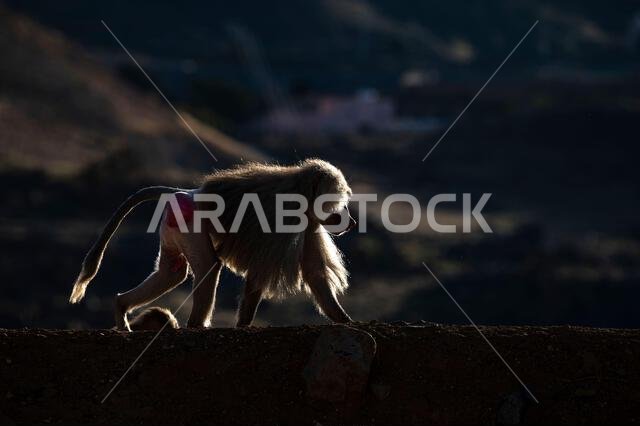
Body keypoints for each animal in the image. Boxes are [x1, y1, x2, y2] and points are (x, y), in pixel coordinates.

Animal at [69, 159, 356, 330]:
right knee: (208, 267)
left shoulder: (309, 225)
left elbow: (315, 273)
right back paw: (195, 326)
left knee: (172, 273)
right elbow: (259, 272)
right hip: (187, 221)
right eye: (340, 205)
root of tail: (184, 193)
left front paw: (345, 320)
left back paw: (121, 307)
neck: (304, 193)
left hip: (172, 227)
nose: (351, 221)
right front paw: (243, 326)